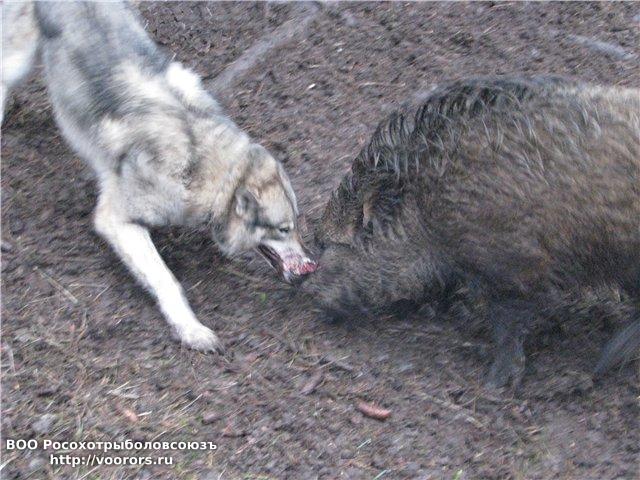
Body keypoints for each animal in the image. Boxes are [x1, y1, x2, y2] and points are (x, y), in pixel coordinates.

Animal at [2, 2, 317, 351]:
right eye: (284, 230)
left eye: (297, 226)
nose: (310, 268)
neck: (201, 163)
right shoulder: (116, 221)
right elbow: (168, 280)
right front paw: (190, 329)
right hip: (18, 63)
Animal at [302, 76, 640, 387]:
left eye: (326, 244)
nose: (310, 295)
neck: (426, 203)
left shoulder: (512, 262)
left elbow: (507, 321)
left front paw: (496, 381)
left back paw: (606, 359)